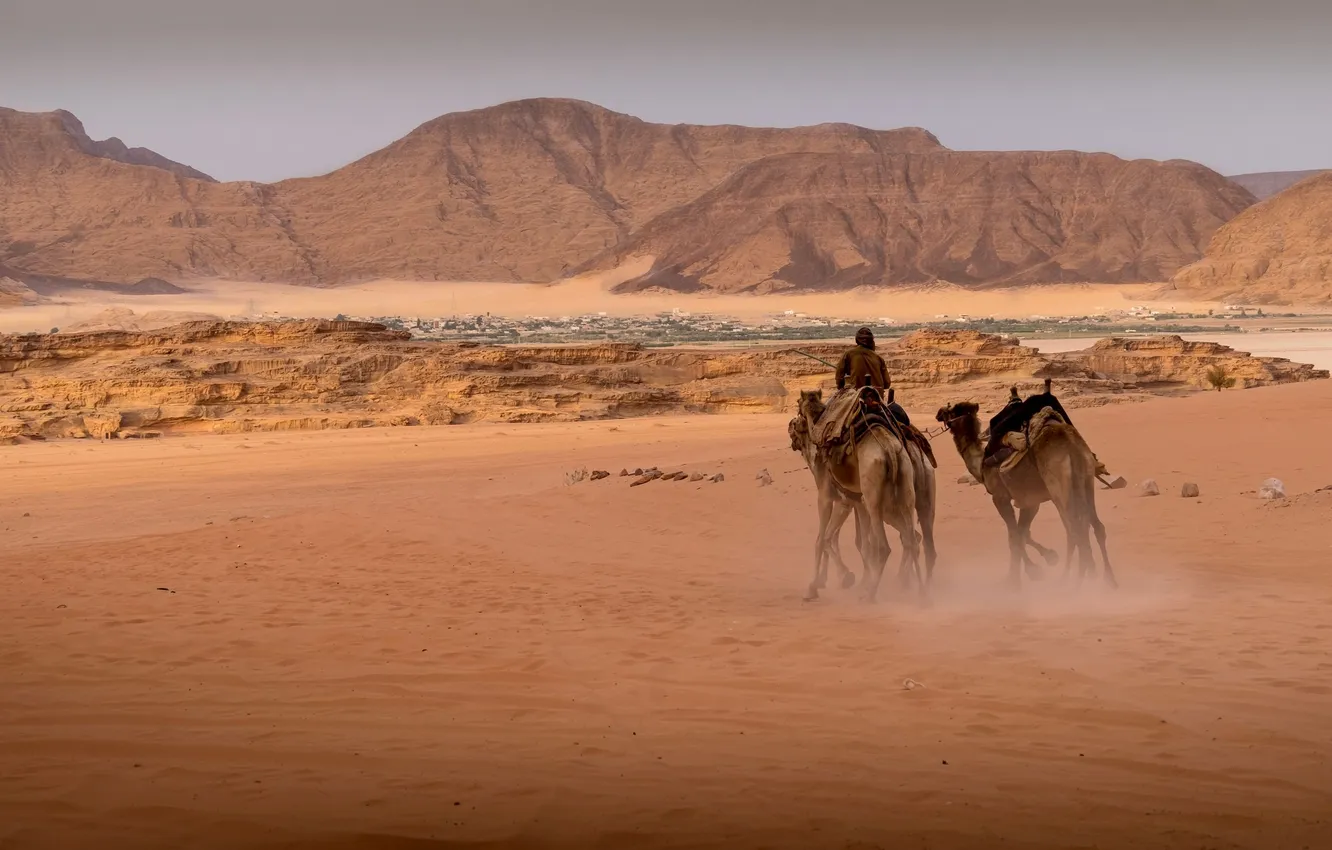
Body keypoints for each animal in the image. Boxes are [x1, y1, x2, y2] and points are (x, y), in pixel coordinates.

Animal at [797, 389, 922, 603]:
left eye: (798, 406)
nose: (792, 425)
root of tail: (889, 449)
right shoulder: (852, 501)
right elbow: (853, 541)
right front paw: (845, 578)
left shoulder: (827, 496)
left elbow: (822, 539)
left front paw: (813, 587)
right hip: (903, 489)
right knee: (911, 537)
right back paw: (922, 594)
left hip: (874, 497)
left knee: (884, 546)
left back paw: (871, 594)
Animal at [935, 390, 1117, 590]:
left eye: (950, 410)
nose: (938, 413)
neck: (981, 465)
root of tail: (1070, 443)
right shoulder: (1029, 502)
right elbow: (1022, 533)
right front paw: (1041, 564)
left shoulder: (1000, 497)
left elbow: (1014, 536)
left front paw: (1020, 578)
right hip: (1085, 481)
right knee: (1093, 527)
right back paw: (1106, 579)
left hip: (1059, 487)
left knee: (1075, 531)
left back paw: (1073, 584)